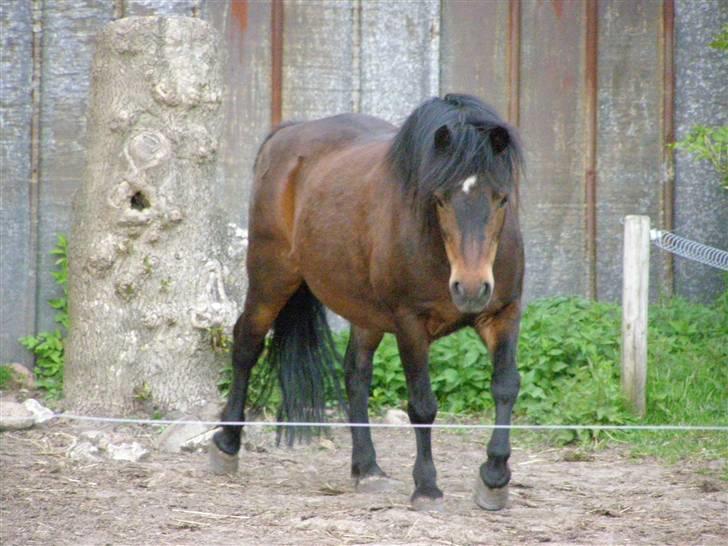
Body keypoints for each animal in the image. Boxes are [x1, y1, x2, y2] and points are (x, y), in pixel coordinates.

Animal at [210, 94, 524, 510]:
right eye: (440, 199)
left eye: (501, 198)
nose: (470, 288)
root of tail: (287, 133)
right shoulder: (410, 324)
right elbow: (422, 404)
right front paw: (427, 486)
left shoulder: (503, 314)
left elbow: (505, 386)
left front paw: (494, 477)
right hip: (270, 277)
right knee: (246, 344)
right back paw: (226, 443)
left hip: (365, 313)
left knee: (355, 374)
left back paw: (367, 467)